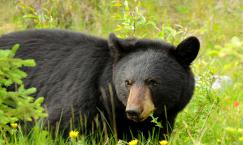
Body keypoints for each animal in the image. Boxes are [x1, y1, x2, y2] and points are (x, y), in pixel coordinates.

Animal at [0, 29, 199, 139]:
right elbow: (57, 125)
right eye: (127, 82)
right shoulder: (83, 93)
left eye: (153, 82)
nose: (134, 111)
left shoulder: (162, 120)